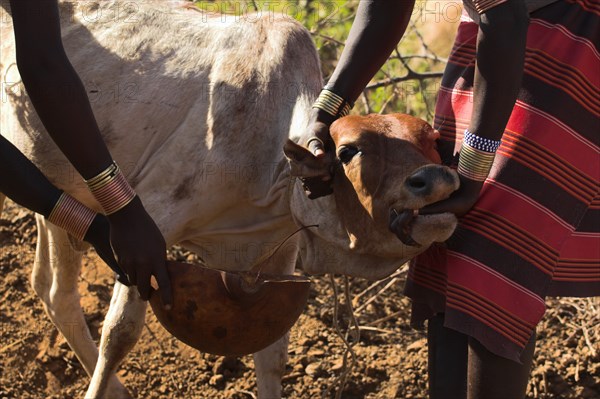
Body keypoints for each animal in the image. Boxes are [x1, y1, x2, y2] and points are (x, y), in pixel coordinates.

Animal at [1, 1, 460, 398]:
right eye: (348, 152)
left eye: (433, 140)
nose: (438, 179)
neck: (273, 169)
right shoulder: (146, 233)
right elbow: (120, 334)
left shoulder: (276, 259)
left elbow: (272, 356)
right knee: (60, 292)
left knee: (47, 285)